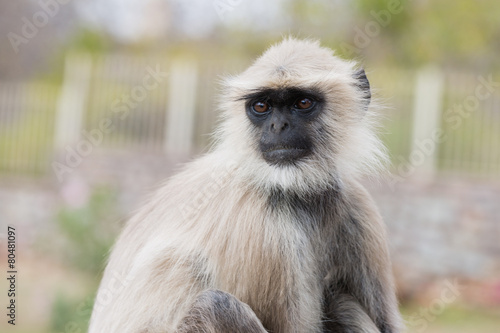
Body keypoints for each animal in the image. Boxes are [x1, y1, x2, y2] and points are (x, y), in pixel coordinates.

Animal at [89, 38, 402, 332]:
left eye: (302, 103)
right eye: (261, 106)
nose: (277, 127)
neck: (294, 190)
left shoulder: (356, 204)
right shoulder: (262, 229)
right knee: (218, 305)